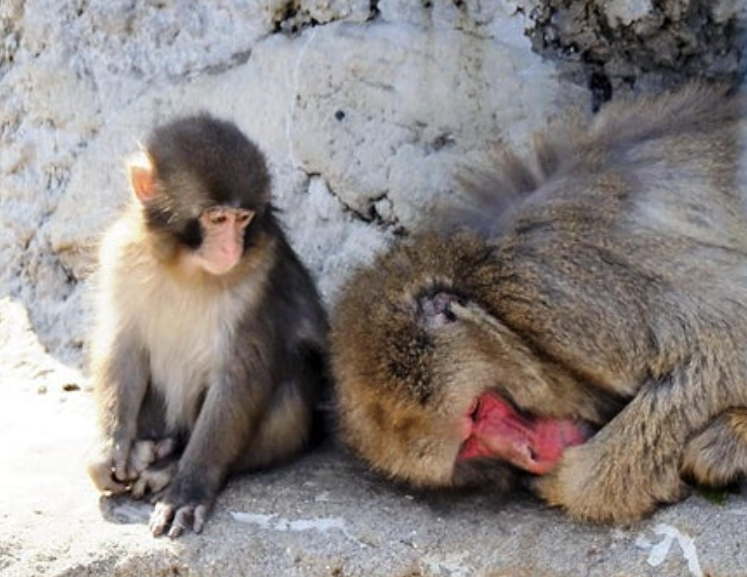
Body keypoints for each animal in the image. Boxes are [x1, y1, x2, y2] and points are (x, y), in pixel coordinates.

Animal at [86, 113, 328, 538]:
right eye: (217, 218)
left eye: (242, 218)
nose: (231, 247)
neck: (186, 267)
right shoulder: (121, 255)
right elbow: (123, 349)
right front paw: (108, 451)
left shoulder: (259, 279)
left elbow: (239, 376)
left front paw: (188, 490)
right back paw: (151, 449)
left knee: (292, 381)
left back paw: (168, 464)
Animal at [330, 83, 747, 523]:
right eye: (470, 446)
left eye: (476, 410)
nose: (530, 455)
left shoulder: (564, 296)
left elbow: (724, 343)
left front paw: (571, 483)